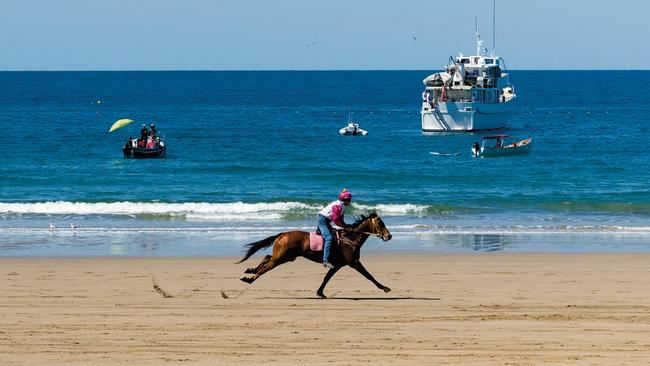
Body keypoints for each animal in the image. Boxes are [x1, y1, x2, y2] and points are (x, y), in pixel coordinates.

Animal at [238, 213, 390, 298]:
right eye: (380, 223)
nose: (389, 236)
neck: (350, 239)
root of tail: (282, 234)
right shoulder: (354, 262)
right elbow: (368, 275)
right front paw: (385, 288)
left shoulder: (337, 265)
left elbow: (326, 278)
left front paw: (320, 292)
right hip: (282, 258)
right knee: (266, 267)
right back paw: (249, 279)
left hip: (286, 257)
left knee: (267, 257)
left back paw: (251, 270)